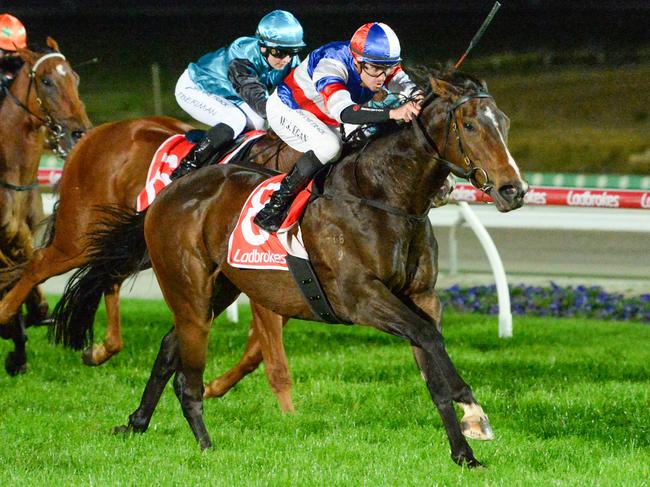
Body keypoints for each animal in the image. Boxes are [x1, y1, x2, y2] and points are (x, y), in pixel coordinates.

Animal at [50, 70, 528, 468]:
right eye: (470, 125)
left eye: (503, 122)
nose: (514, 189)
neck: (383, 198)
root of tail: (170, 190)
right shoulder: (361, 298)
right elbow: (429, 339)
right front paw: (474, 411)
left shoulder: (422, 297)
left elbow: (432, 365)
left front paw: (464, 452)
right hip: (186, 286)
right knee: (187, 372)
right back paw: (206, 447)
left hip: (218, 287)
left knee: (170, 347)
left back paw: (137, 422)